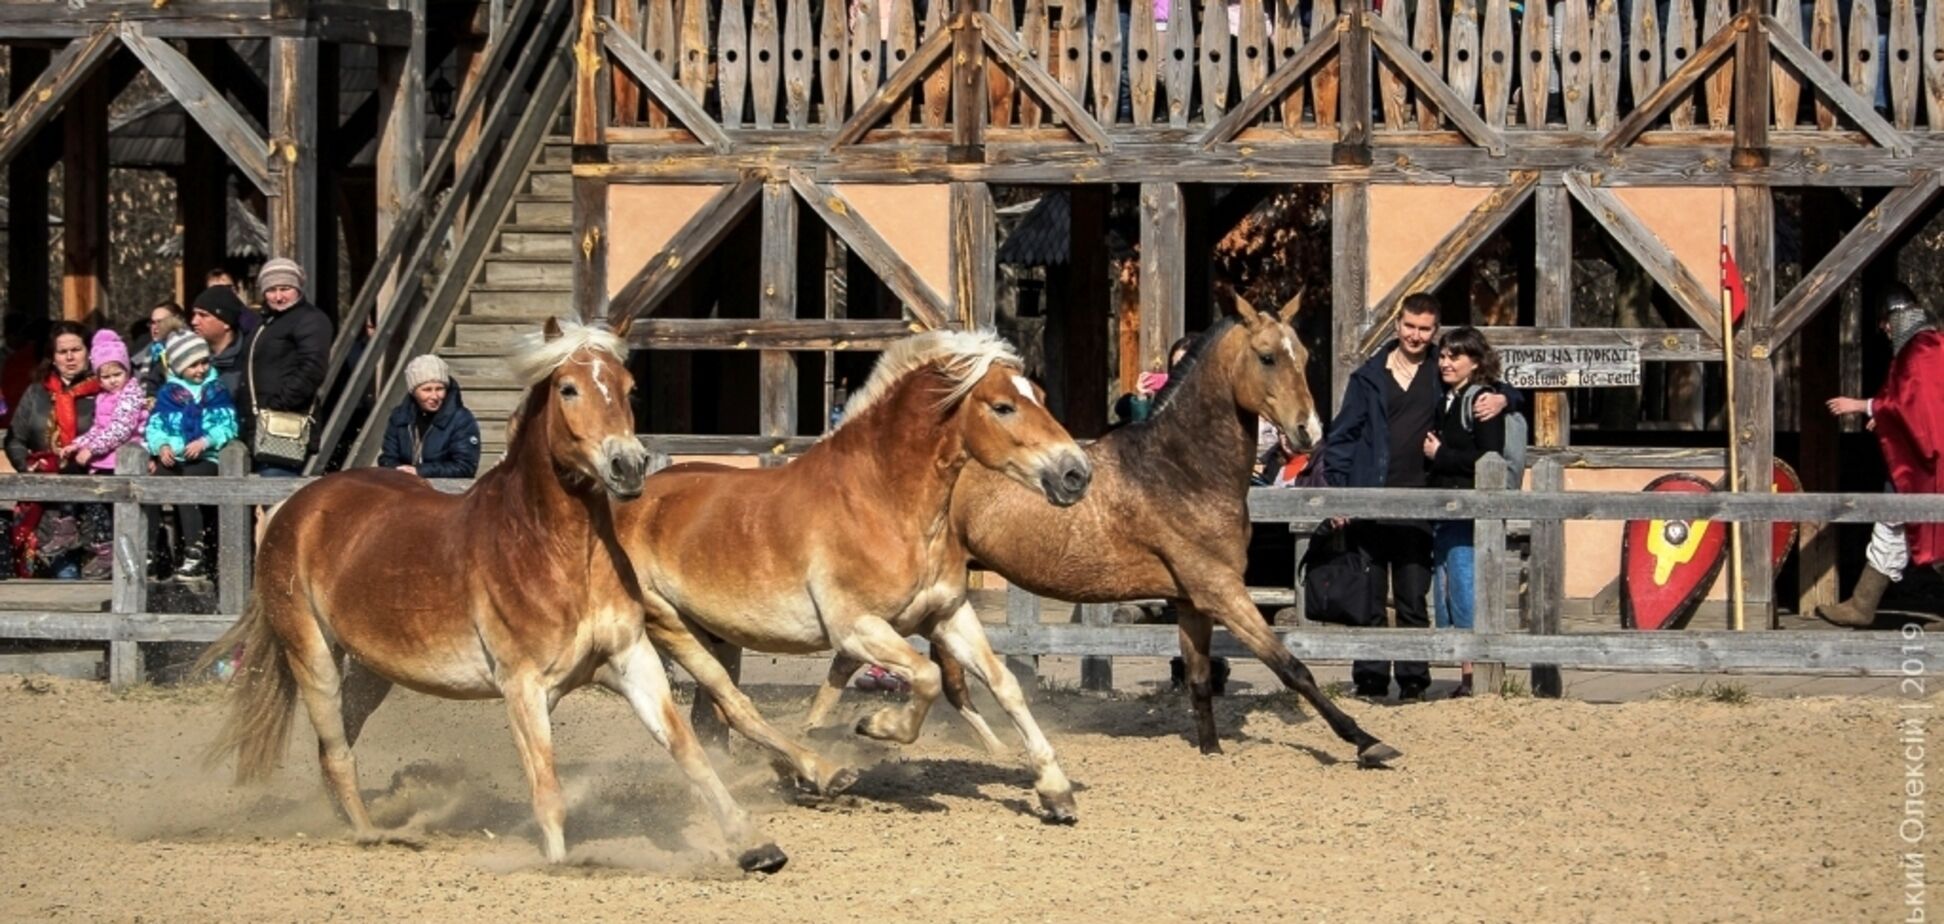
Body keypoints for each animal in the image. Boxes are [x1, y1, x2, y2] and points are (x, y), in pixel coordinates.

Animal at [189, 320, 781, 875]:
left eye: (628, 388)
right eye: (568, 388)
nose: (627, 466)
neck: (554, 551)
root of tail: (293, 508)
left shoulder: (630, 657)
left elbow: (688, 750)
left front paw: (755, 845)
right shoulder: (522, 685)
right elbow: (547, 786)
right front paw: (561, 862)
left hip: (373, 670)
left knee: (336, 744)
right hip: (311, 655)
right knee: (336, 752)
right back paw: (371, 834)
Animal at [614, 332, 1104, 824]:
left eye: (1039, 396)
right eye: (1003, 406)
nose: (1075, 474)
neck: (883, 501)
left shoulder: (948, 615)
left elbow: (1005, 686)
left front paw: (1056, 792)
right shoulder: (856, 629)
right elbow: (927, 675)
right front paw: (876, 725)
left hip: (718, 633)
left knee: (721, 713)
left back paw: (797, 774)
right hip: (668, 624)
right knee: (734, 705)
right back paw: (824, 773)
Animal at [816, 299, 1399, 770]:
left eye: (1302, 353)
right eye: (1267, 356)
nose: (1309, 432)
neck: (1181, 470)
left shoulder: (1190, 600)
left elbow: (1200, 677)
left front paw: (1211, 751)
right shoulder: (1221, 591)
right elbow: (1292, 667)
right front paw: (1368, 742)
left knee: (931, 674)